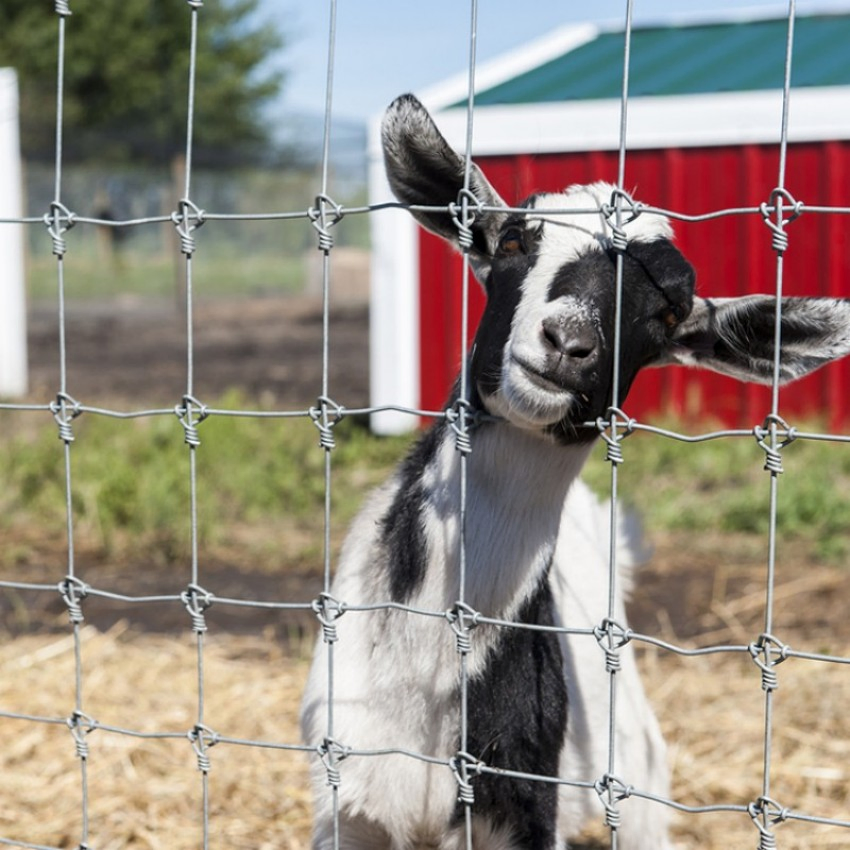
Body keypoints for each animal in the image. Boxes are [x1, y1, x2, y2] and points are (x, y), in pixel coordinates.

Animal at [300, 93, 850, 850]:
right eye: (510, 243)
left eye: (670, 310)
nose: (567, 343)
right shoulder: (346, 800)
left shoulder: (525, 808)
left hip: (638, 773)